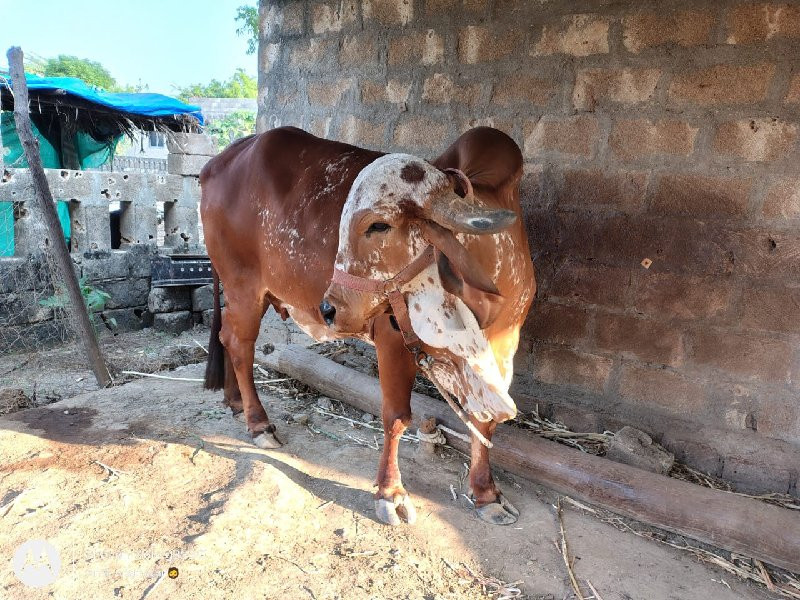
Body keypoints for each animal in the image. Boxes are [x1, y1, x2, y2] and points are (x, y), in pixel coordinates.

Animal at [202, 127, 536, 524]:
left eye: (378, 225)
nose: (328, 308)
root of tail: (220, 160)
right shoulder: (393, 339)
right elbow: (396, 417)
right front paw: (390, 493)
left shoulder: (502, 347)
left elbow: (484, 421)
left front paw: (486, 492)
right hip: (244, 287)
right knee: (240, 344)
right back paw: (258, 422)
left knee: (226, 335)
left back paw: (234, 400)